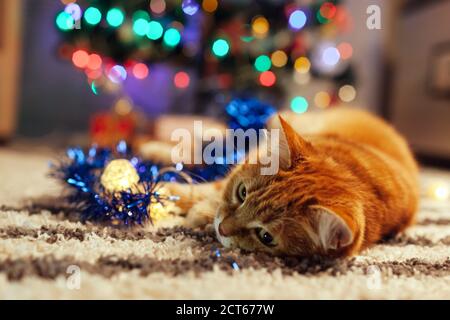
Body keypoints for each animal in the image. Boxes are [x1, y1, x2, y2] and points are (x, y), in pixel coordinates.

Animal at [154, 107, 418, 258]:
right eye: (242, 193)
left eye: (265, 237)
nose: (222, 229)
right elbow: (210, 187)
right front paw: (164, 193)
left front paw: (198, 212)